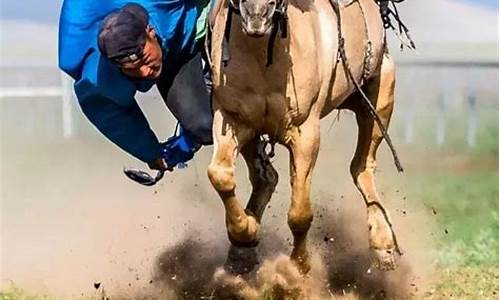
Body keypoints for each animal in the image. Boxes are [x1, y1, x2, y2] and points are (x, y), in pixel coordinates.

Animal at [207, 0, 402, 274]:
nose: (257, 13)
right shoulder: (231, 119)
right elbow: (220, 176)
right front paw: (246, 231)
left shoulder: (305, 133)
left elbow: (300, 213)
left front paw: (297, 269)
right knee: (265, 176)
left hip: (380, 99)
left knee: (362, 166)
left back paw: (383, 245)